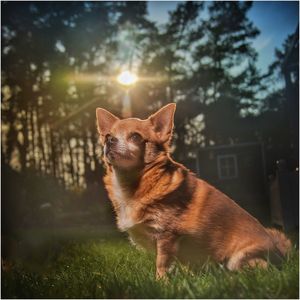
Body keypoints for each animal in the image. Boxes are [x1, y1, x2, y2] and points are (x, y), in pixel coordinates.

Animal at [96, 103, 290, 278]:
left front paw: (161, 283)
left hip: (240, 260)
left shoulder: (167, 236)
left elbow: (161, 263)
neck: (131, 185)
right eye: (107, 136)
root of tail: (280, 253)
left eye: (135, 137)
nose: (109, 140)